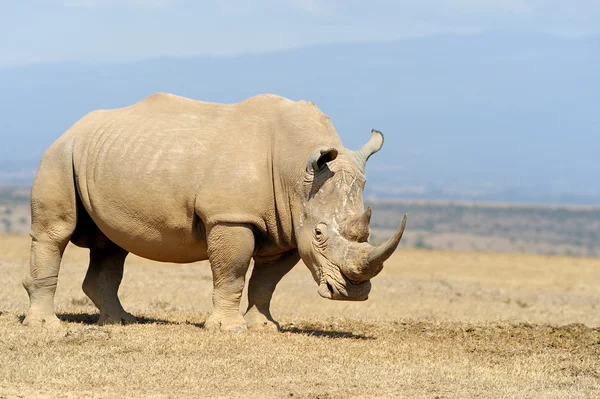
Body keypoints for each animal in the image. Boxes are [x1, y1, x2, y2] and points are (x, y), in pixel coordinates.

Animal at [23, 93, 408, 332]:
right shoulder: (232, 216)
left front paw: (264, 327)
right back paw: (46, 326)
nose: (353, 293)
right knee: (56, 233)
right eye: (319, 234)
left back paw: (121, 322)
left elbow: (266, 281)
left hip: (100, 157)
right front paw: (229, 329)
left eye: (367, 233)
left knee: (111, 245)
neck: (297, 170)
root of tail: (71, 128)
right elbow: (233, 272)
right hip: (61, 155)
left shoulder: (286, 226)